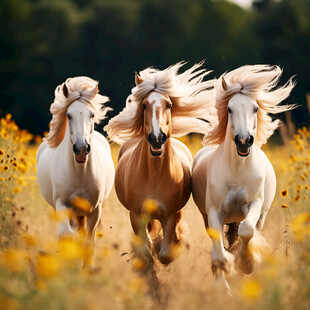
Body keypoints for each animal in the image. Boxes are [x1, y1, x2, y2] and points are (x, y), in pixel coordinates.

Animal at [36, 75, 114, 264]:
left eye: (91, 114)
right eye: (69, 115)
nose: (81, 149)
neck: (80, 173)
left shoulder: (95, 210)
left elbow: (88, 243)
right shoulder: (62, 205)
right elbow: (67, 236)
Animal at [104, 62, 216, 266]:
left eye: (169, 104)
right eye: (144, 105)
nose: (157, 138)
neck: (154, 176)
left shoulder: (171, 214)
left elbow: (165, 253)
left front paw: (169, 246)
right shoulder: (136, 215)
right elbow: (146, 250)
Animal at [191, 64, 296, 290]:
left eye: (255, 108)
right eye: (229, 109)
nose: (243, 141)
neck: (237, 170)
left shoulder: (254, 204)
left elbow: (246, 231)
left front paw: (246, 264)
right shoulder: (214, 212)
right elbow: (219, 254)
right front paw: (224, 280)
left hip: (261, 217)